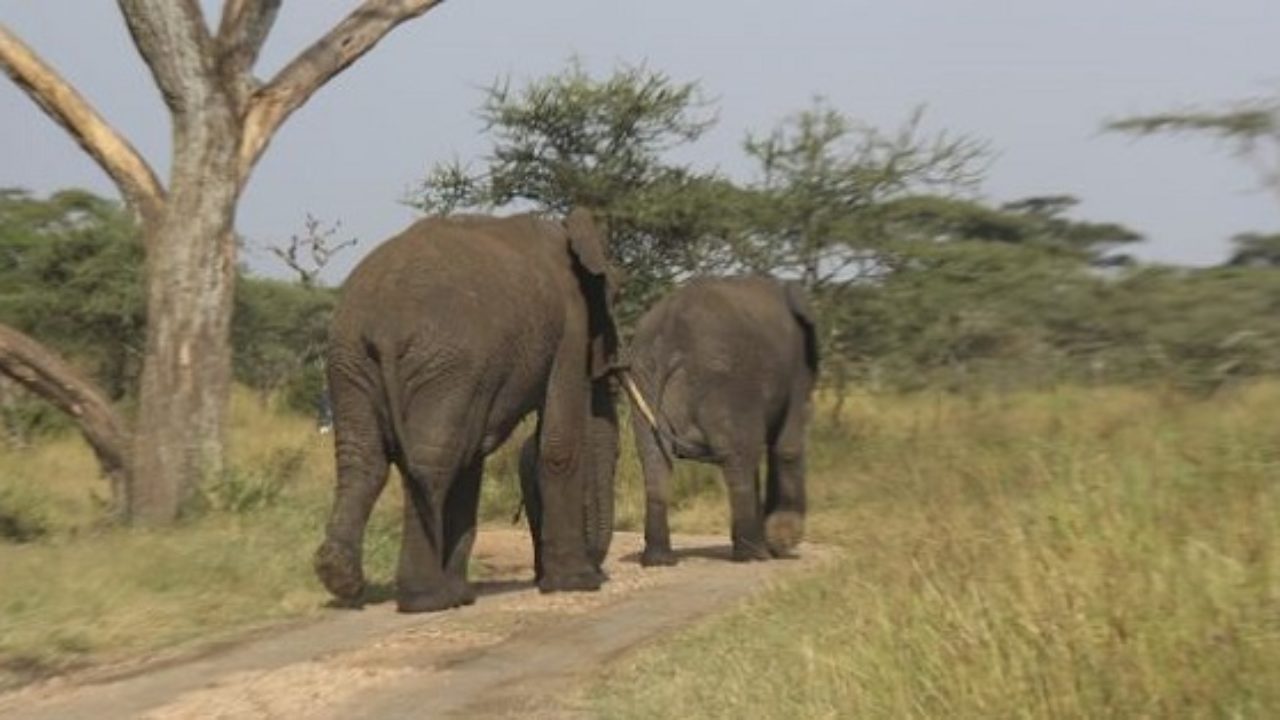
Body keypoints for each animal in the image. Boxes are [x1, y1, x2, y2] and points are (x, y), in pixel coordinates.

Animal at [313, 209, 619, 613]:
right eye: (616, 296)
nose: (599, 571)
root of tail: (385, 323)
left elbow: (472, 458)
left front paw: (463, 595)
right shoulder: (570, 325)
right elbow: (559, 444)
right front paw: (577, 584)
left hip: (351, 361)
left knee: (368, 460)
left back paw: (340, 576)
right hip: (443, 362)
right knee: (431, 462)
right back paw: (426, 599)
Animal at [621, 275, 818, 566]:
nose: (782, 549)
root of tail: (672, 326)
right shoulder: (797, 370)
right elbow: (787, 446)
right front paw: (781, 544)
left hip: (644, 374)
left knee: (655, 458)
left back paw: (659, 560)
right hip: (728, 380)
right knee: (740, 458)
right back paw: (753, 556)